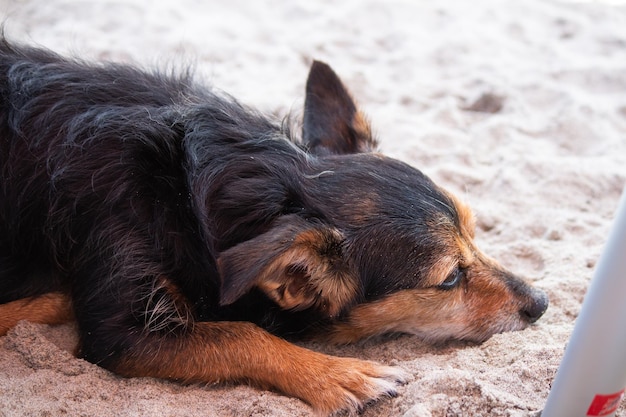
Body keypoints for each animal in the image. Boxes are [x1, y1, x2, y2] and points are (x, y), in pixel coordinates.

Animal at [0, 38, 544, 412]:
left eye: (475, 233)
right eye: (450, 279)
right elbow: (240, 334)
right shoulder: (119, 329)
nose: (541, 302)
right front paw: (337, 375)